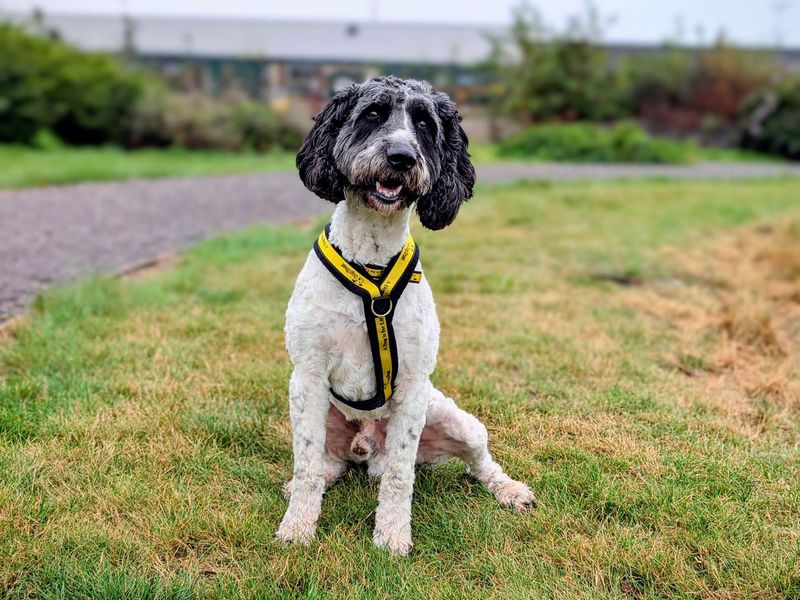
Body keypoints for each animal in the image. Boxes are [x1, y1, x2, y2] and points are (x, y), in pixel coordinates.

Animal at [278, 77, 536, 556]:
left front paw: (393, 535)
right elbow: (306, 463)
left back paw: (509, 490)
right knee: (326, 462)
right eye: (373, 114)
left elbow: (401, 473)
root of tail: (366, 444)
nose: (401, 156)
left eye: (424, 123)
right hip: (324, 415)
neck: (372, 262)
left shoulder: (414, 386)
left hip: (459, 421)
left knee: (479, 463)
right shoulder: (307, 375)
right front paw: (297, 527)